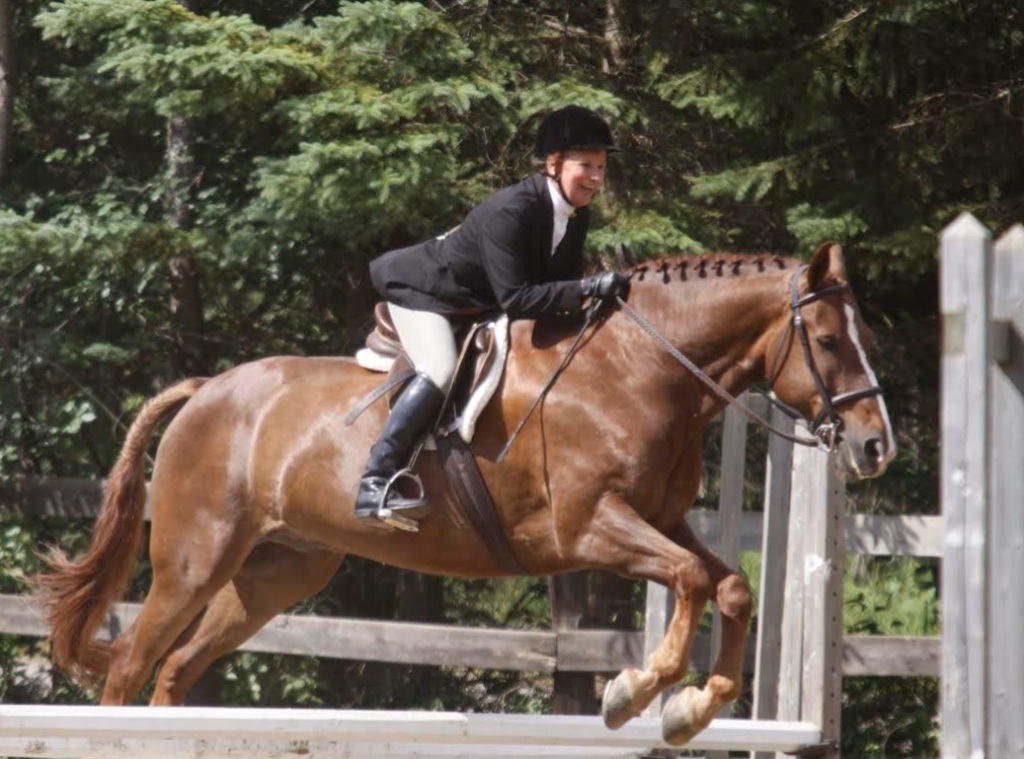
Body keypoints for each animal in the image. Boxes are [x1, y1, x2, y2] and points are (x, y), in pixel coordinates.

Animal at [33, 241, 895, 746]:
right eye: (826, 341)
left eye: (866, 338)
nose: (876, 446)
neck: (640, 368)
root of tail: (207, 389)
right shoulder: (587, 528)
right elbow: (688, 578)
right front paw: (632, 692)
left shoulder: (660, 518)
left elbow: (731, 583)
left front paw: (691, 706)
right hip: (195, 558)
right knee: (129, 665)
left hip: (278, 572)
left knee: (176, 670)